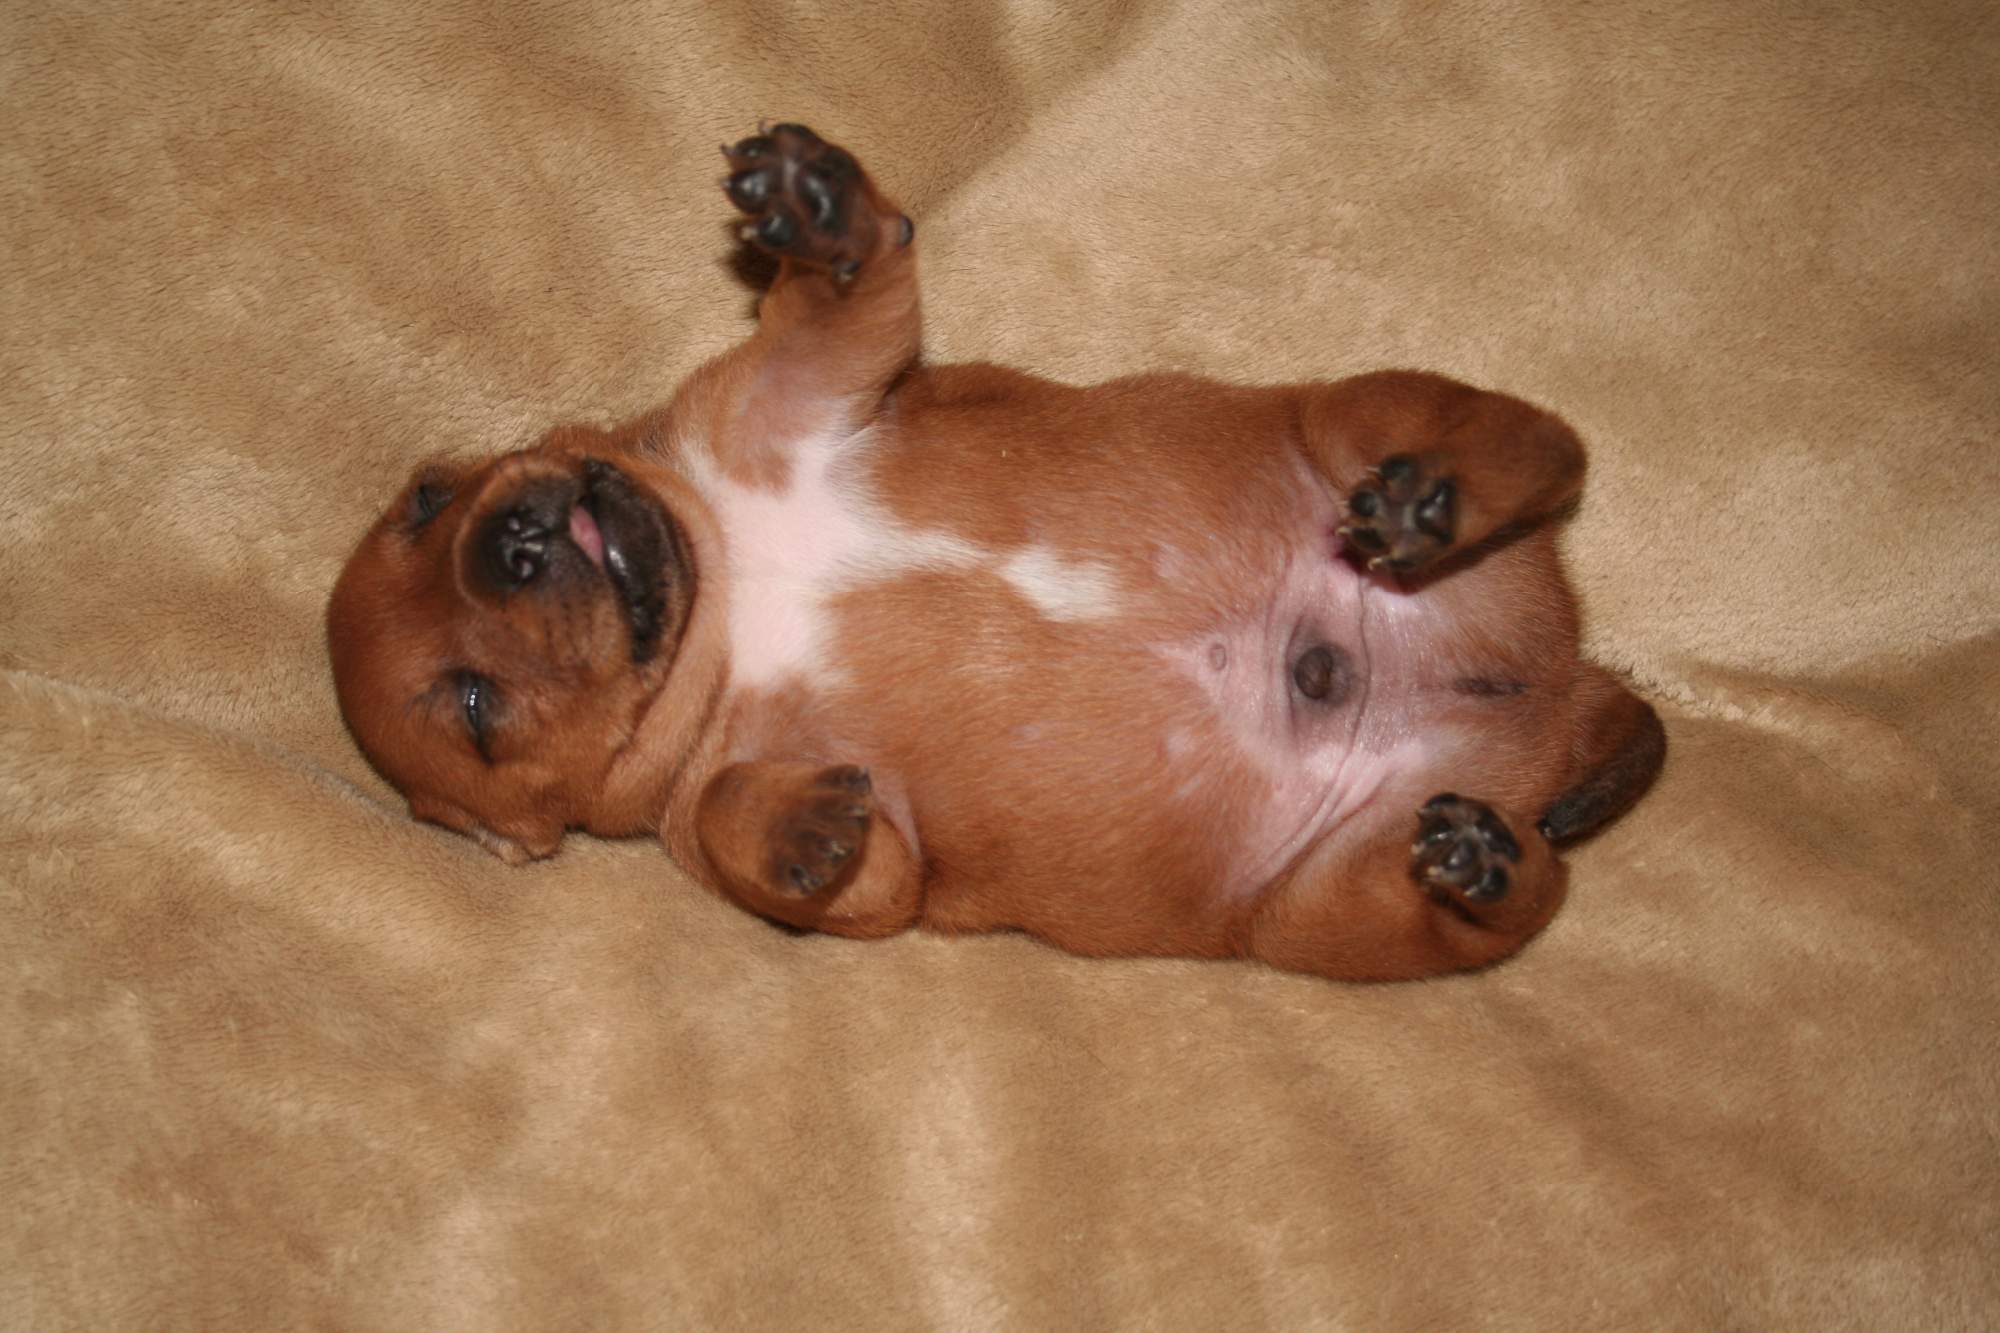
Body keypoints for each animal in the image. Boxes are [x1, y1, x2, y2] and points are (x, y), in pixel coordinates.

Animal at [327, 123, 1664, 981]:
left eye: (426, 497)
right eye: (475, 708)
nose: (514, 538)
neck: (734, 588)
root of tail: (1550, 691)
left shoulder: (793, 390)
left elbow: (836, 301)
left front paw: (812, 205)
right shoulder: (847, 874)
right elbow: (744, 819)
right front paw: (798, 826)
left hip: (1347, 415)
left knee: (1546, 445)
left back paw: (1435, 499)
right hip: (1325, 911)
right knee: (1521, 896)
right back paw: (1481, 855)